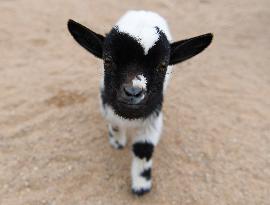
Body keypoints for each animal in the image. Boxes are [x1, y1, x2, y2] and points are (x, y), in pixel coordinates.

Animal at [67, 10, 213, 195]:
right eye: (107, 60)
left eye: (163, 66)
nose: (133, 92)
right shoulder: (105, 102)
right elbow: (114, 122)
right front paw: (117, 141)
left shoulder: (154, 115)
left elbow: (144, 148)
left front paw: (141, 185)